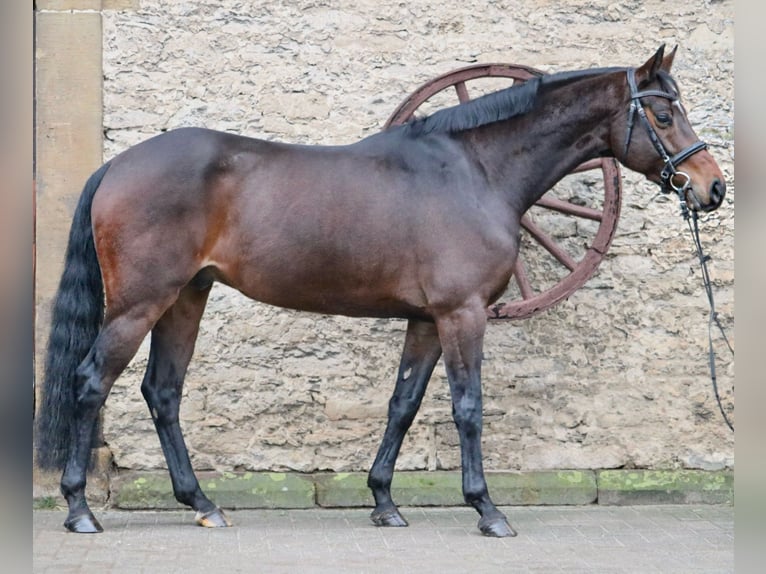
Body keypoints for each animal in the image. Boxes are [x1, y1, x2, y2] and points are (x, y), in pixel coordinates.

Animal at [37, 46, 728, 540]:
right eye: (663, 113)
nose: (712, 187)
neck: (472, 171)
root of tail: (118, 165)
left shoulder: (425, 320)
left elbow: (404, 403)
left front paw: (384, 502)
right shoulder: (462, 315)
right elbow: (467, 408)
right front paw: (487, 510)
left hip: (186, 297)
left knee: (163, 392)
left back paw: (202, 503)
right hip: (140, 303)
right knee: (91, 382)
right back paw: (80, 511)